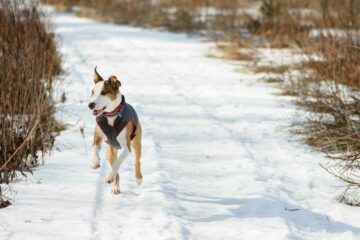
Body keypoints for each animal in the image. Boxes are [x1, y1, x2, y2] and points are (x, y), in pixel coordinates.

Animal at [88, 66, 143, 194]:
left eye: (103, 92)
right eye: (92, 92)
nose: (90, 104)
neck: (111, 115)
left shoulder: (127, 147)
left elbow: (119, 161)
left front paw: (109, 175)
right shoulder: (98, 136)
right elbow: (94, 148)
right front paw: (95, 161)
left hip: (136, 142)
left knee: (136, 161)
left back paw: (138, 179)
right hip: (111, 151)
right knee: (114, 164)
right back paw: (115, 186)